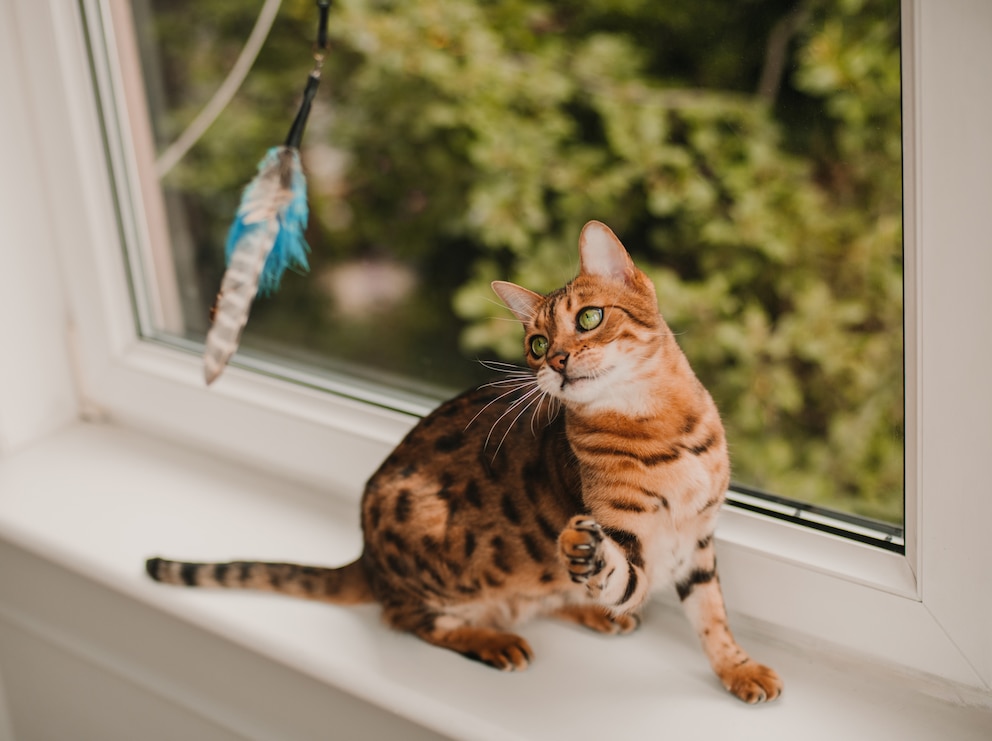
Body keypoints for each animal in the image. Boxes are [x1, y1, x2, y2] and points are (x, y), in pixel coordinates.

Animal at [147, 218, 784, 700]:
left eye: (588, 318)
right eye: (536, 344)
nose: (557, 360)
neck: (661, 431)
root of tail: (367, 558)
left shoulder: (696, 541)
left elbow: (712, 615)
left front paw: (738, 668)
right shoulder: (633, 542)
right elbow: (617, 572)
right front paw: (587, 556)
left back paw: (588, 613)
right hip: (418, 533)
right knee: (410, 617)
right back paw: (494, 639)